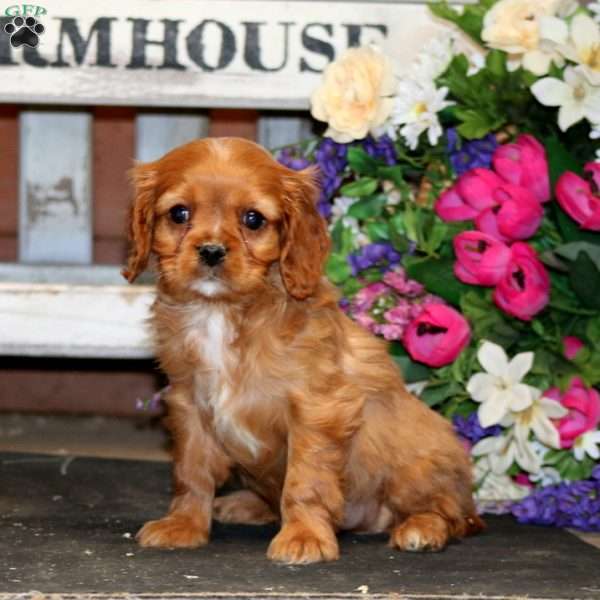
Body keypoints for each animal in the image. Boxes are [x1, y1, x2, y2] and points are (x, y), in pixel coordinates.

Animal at [122, 136, 482, 564]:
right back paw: (243, 504)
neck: (222, 312)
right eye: (179, 213)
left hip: (416, 468)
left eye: (253, 219)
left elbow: (305, 478)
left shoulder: (316, 408)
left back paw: (422, 529)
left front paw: (304, 536)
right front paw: (184, 524)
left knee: (452, 513)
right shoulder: (189, 403)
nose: (211, 251)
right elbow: (191, 471)